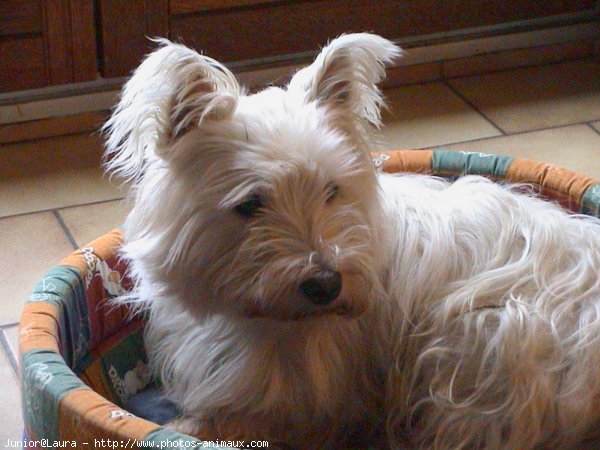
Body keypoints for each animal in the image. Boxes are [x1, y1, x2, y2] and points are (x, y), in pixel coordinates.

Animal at [105, 33, 600, 448]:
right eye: (250, 203)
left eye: (332, 190)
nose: (326, 285)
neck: (261, 319)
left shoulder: (310, 395)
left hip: (484, 339)